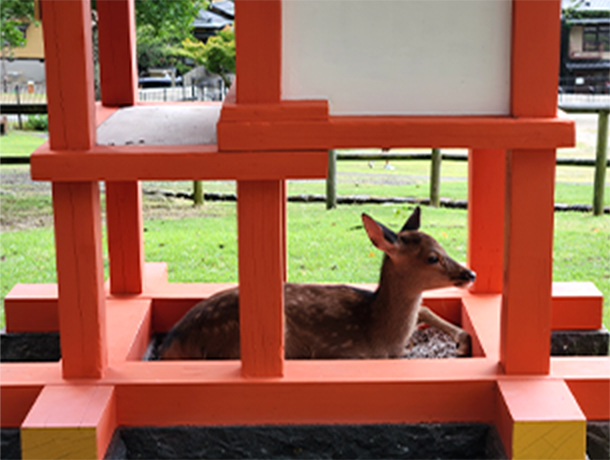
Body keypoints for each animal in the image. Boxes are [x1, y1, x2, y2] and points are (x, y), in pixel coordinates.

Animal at [158, 207, 476, 362]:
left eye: (442, 247)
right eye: (433, 257)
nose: (470, 274)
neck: (383, 337)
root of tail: (171, 343)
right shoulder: (343, 352)